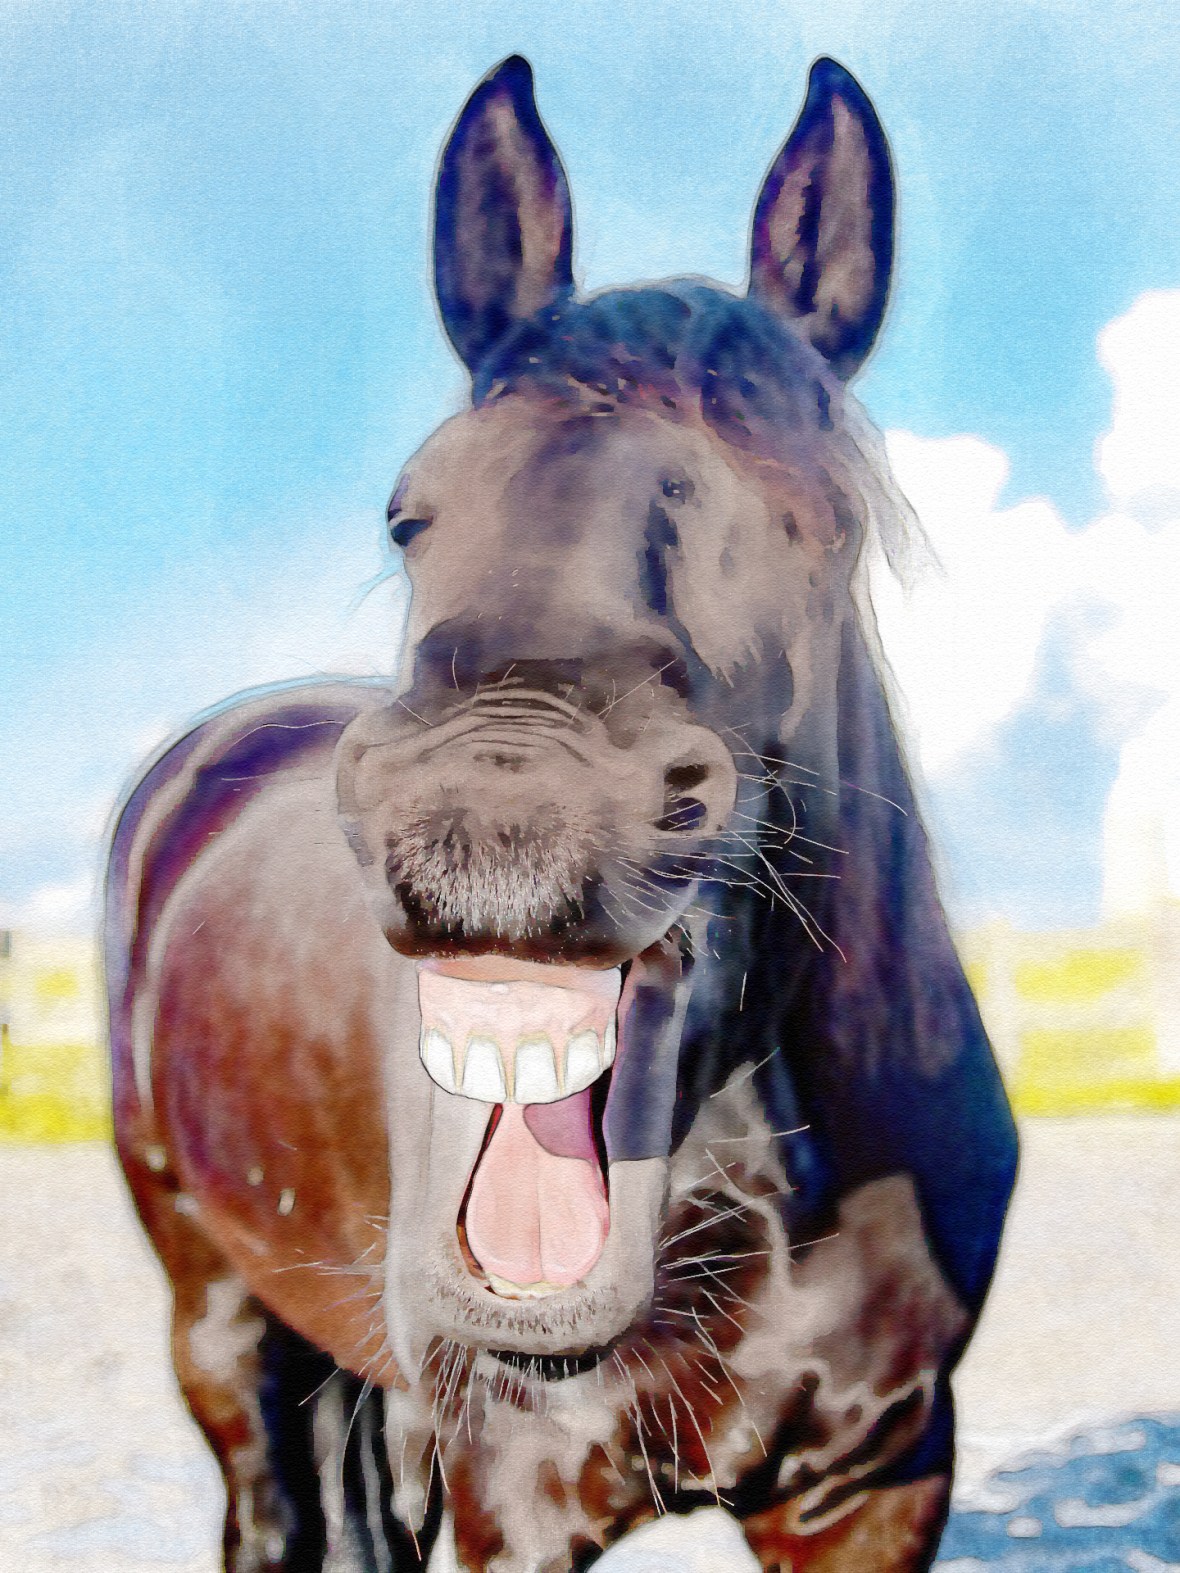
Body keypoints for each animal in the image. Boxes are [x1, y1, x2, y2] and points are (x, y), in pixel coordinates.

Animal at [105, 54, 1017, 1573]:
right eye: (412, 511)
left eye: (818, 522)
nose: (492, 815)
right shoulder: (511, 1492)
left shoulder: (880, 1482)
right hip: (217, 1325)